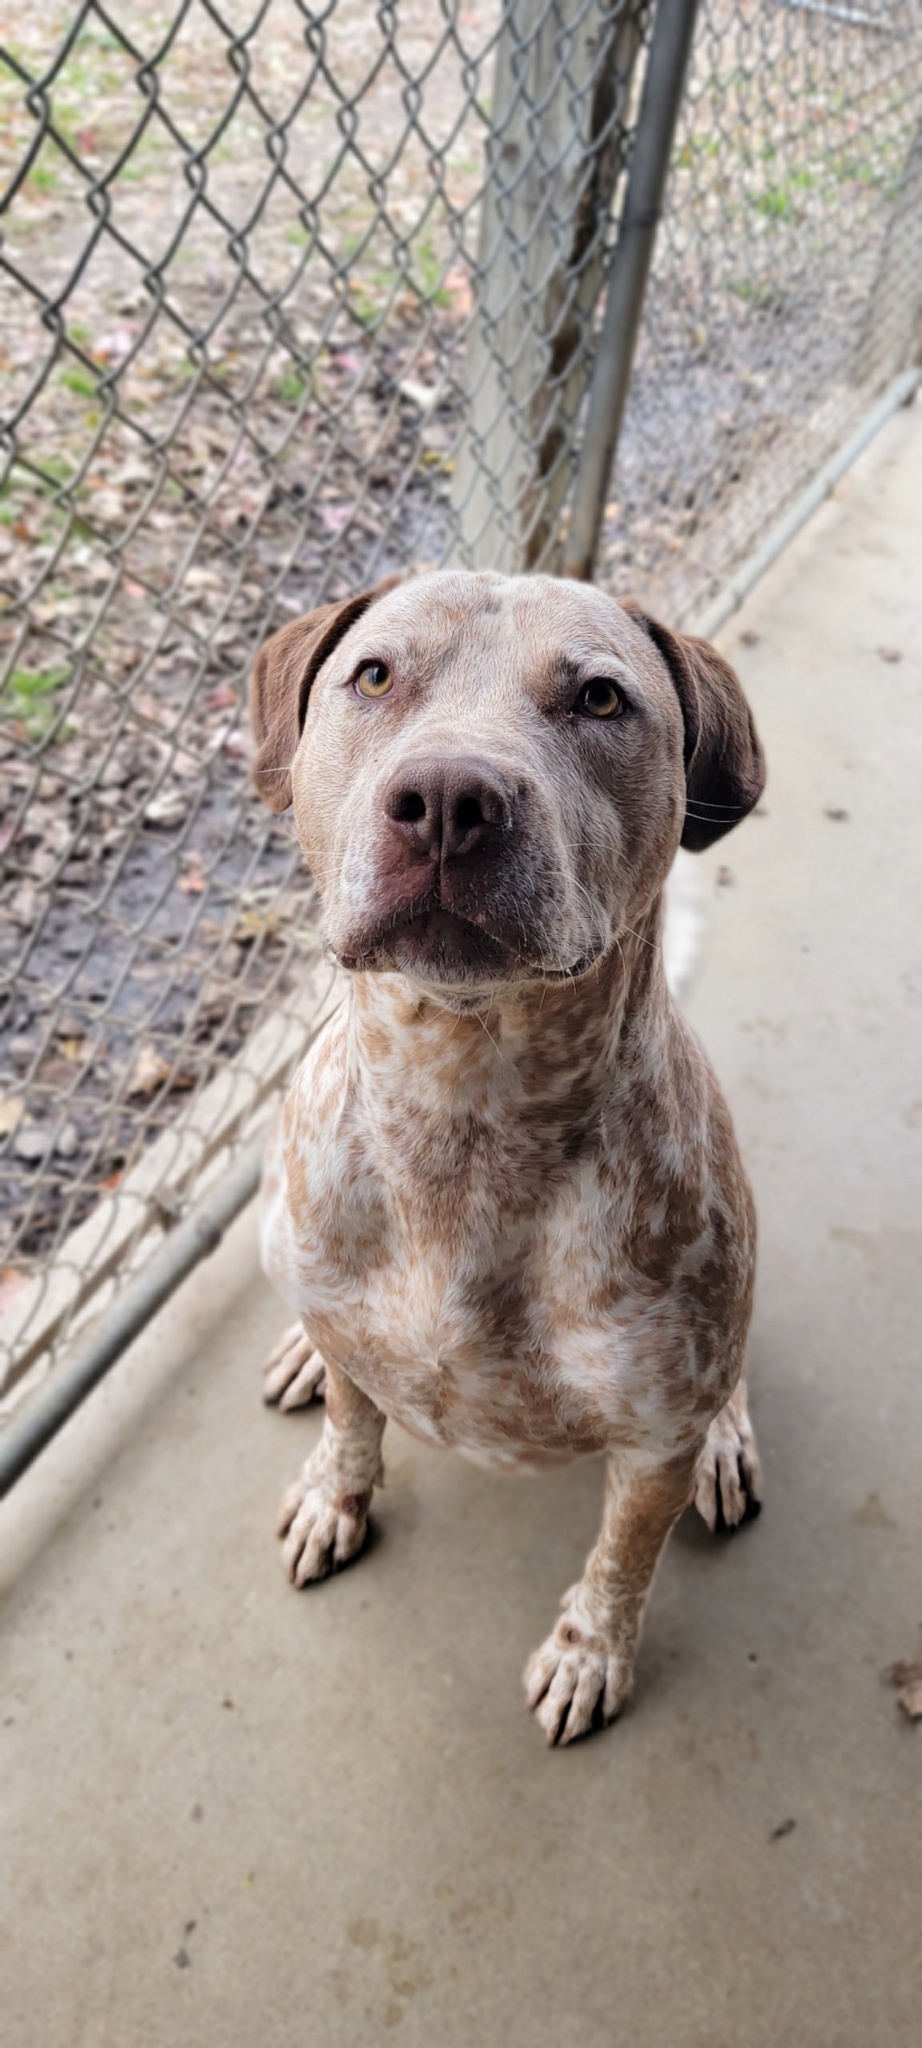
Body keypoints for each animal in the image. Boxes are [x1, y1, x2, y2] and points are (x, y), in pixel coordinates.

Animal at [246, 565, 762, 1744]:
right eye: (374, 676)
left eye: (602, 699)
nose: (446, 798)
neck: (463, 1114)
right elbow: (352, 1422)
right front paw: (333, 1490)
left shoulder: (652, 1442)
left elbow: (622, 1559)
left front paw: (588, 1651)